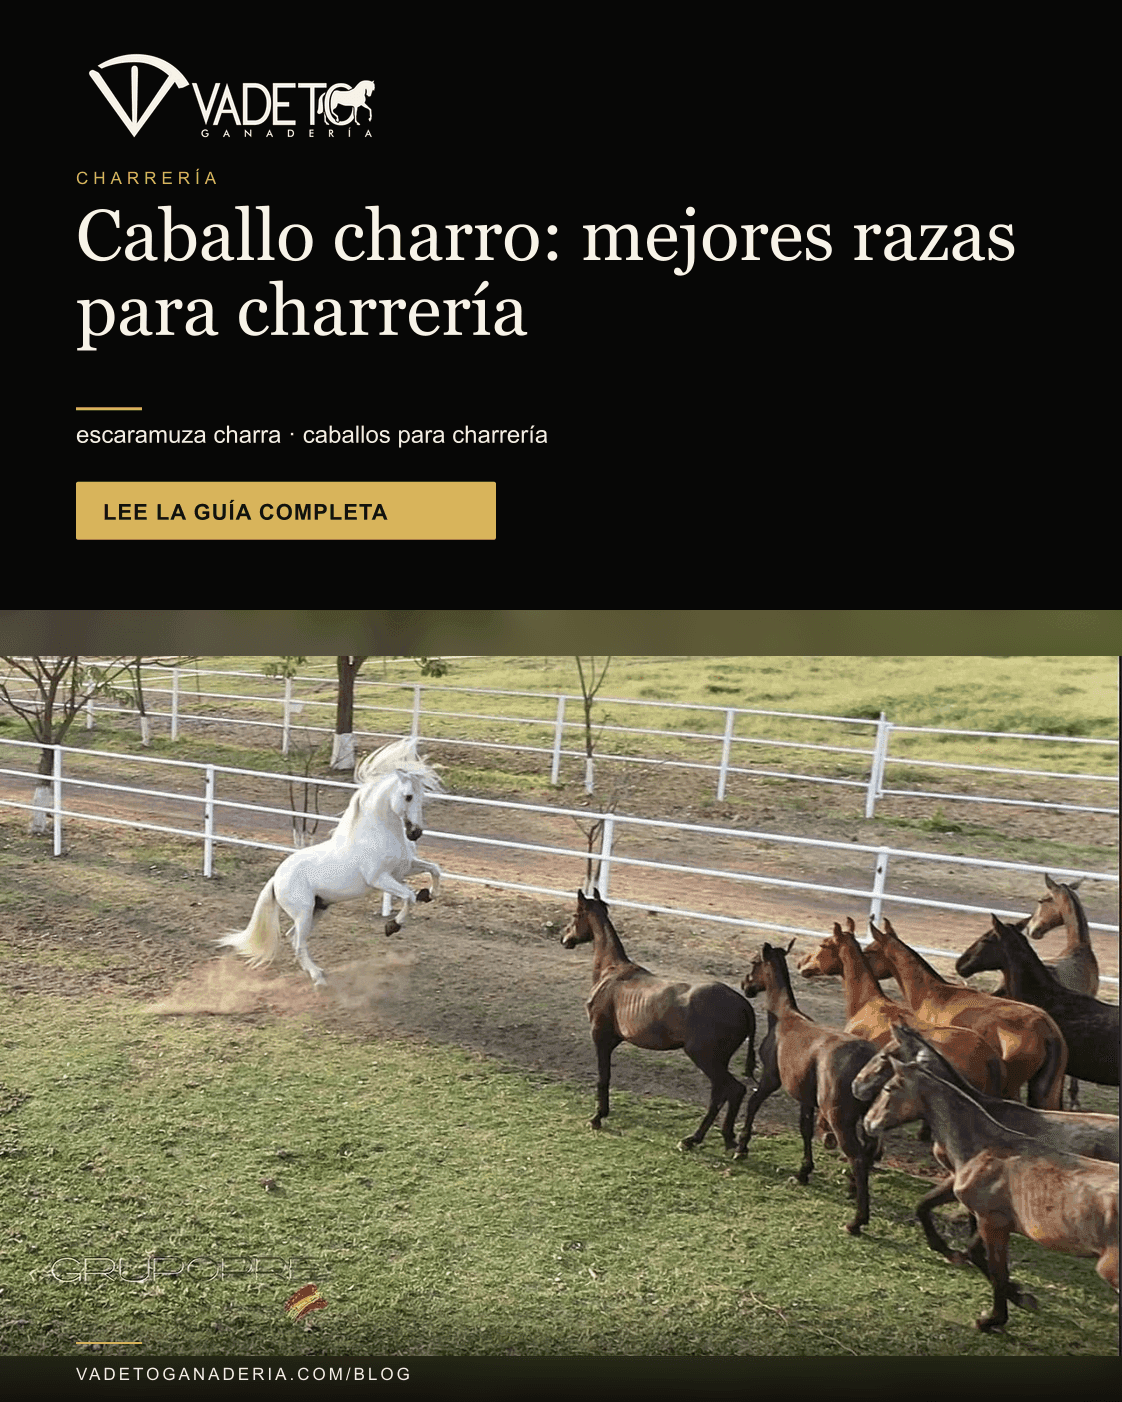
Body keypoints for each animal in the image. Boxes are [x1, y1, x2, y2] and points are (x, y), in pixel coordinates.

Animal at [216, 738, 443, 988]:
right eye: (408, 796)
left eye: (422, 797)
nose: (415, 833)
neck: (377, 833)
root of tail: (276, 879)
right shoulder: (380, 879)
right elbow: (409, 896)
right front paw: (392, 926)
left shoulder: (404, 869)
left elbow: (435, 869)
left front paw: (428, 894)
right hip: (304, 912)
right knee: (298, 943)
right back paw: (319, 979)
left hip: (318, 909)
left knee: (293, 938)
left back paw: (318, 972)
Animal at [560, 889, 756, 1153]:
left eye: (575, 914)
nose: (564, 938)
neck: (611, 972)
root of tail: (743, 1004)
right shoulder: (612, 1040)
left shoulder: (600, 1036)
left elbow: (603, 1077)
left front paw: (597, 1118)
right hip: (717, 1061)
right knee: (724, 1093)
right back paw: (725, 1140)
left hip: (705, 1058)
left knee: (731, 1090)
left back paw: (694, 1140)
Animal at [734, 940, 879, 1236]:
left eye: (754, 961)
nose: (746, 985)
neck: (784, 1018)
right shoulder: (804, 1097)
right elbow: (804, 1129)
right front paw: (803, 1172)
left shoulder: (771, 1078)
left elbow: (753, 1103)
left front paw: (741, 1146)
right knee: (869, 1152)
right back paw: (852, 1189)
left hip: (839, 1119)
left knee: (858, 1157)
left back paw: (857, 1221)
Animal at [863, 1056, 1119, 1333]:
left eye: (888, 1088)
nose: (867, 1123)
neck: (985, 1148)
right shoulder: (992, 1220)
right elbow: (971, 1248)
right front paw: (1020, 1297)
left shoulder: (991, 1223)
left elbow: (997, 1271)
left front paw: (993, 1318)